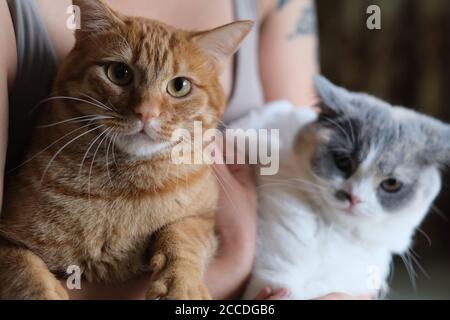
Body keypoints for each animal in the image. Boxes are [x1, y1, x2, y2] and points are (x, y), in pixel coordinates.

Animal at [0, 0, 253, 300]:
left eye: (179, 86)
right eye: (119, 73)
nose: (146, 113)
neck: (124, 190)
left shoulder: (203, 219)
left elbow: (182, 235)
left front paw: (181, 284)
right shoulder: (7, 240)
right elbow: (26, 273)